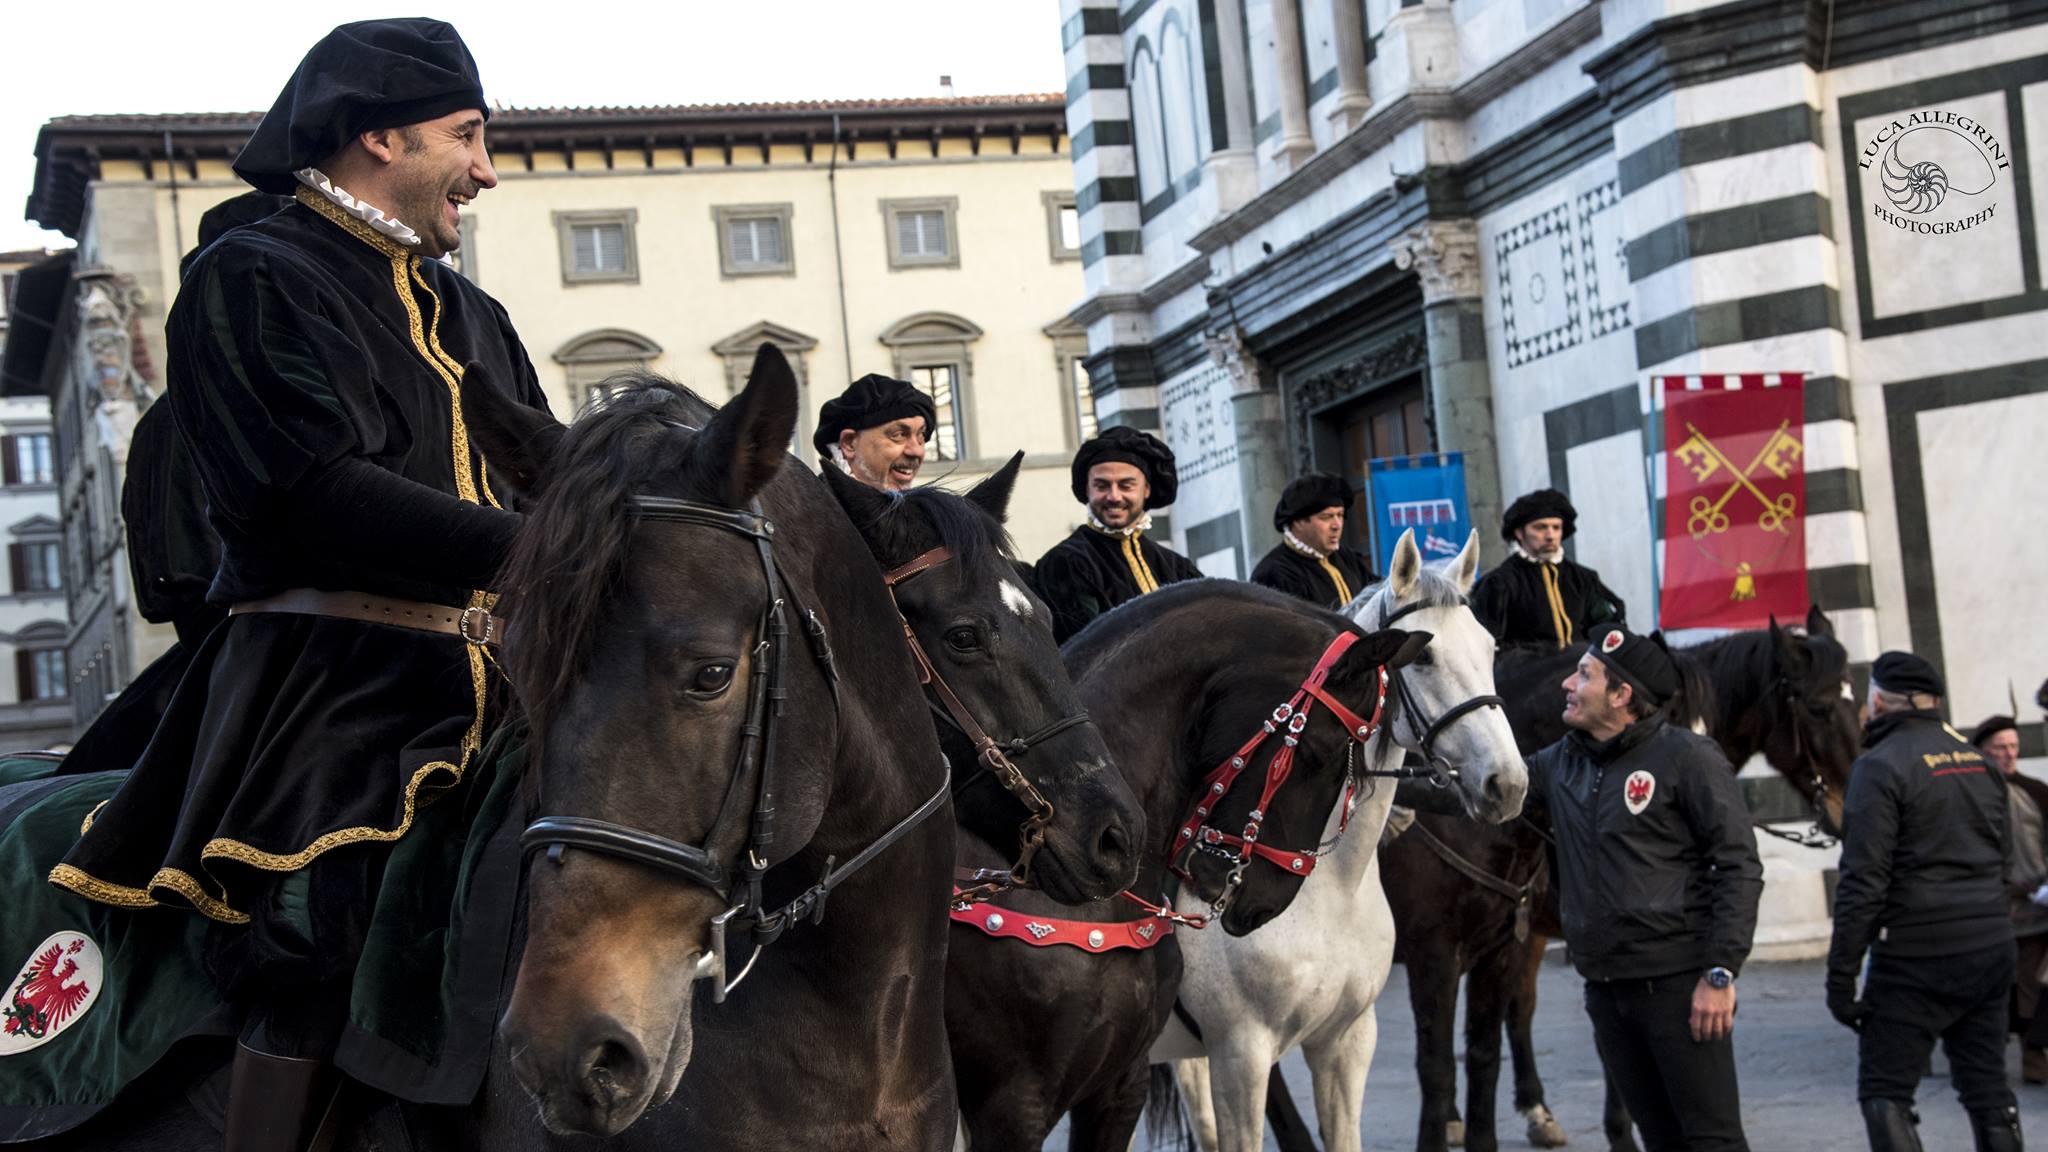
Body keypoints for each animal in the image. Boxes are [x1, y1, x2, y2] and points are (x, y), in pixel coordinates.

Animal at [1163, 528, 1531, 1147]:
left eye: (1490, 649)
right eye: (1425, 656)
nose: (1506, 784)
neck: (1325, 891)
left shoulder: (1347, 1041)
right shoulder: (1240, 1054)